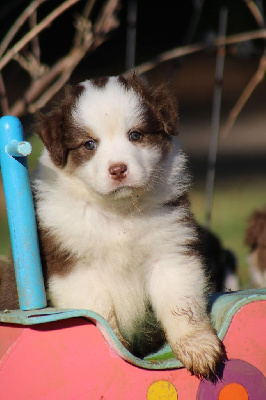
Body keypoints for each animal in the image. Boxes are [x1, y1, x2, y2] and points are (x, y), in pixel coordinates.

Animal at [0, 74, 227, 378]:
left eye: (136, 135)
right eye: (89, 144)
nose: (118, 169)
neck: (118, 211)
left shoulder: (170, 251)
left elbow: (181, 303)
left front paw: (198, 348)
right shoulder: (73, 264)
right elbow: (98, 311)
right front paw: (114, 346)